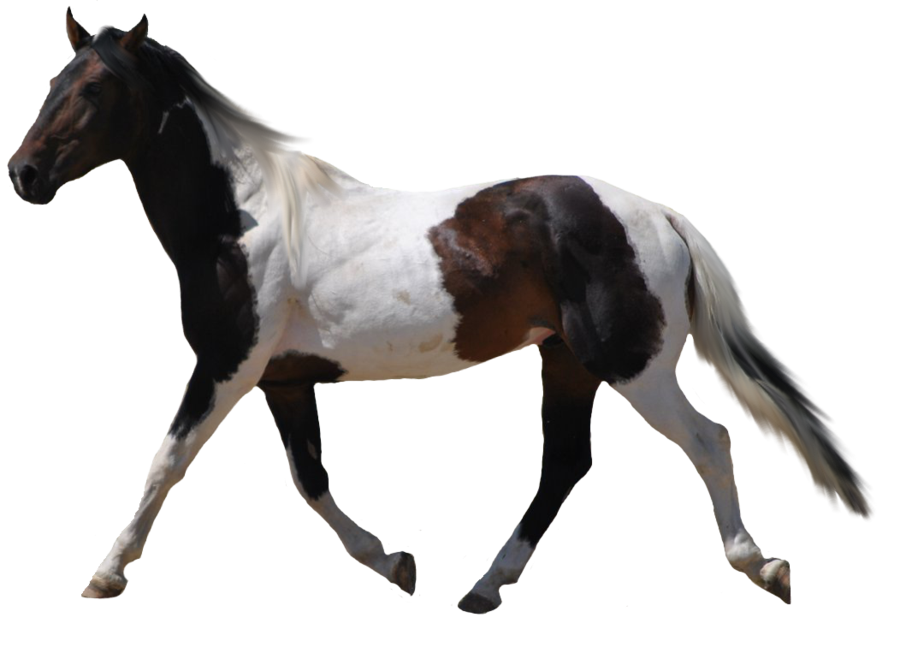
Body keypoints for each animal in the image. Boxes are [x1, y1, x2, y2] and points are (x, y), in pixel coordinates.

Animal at [8, 9, 873, 612]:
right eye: (51, 83)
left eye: (93, 89)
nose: (22, 173)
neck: (240, 220)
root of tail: (655, 213)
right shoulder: (282, 379)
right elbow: (310, 480)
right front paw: (396, 562)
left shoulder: (225, 364)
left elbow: (167, 460)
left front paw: (106, 574)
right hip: (566, 361)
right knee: (566, 463)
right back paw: (484, 587)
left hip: (634, 366)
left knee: (707, 440)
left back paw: (761, 565)